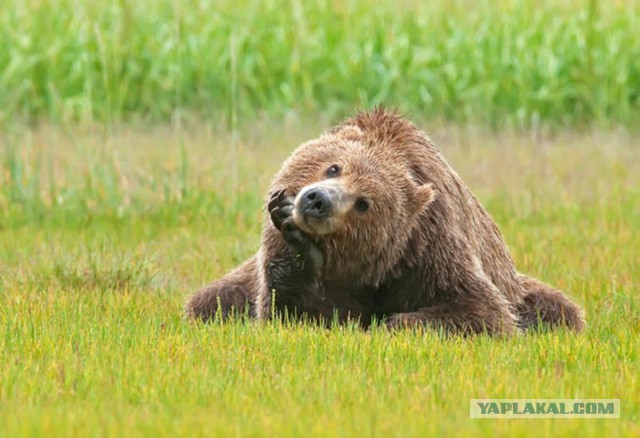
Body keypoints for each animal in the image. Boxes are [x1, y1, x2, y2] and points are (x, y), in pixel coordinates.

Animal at [185, 109, 584, 336]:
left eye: (364, 203)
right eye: (334, 167)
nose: (317, 200)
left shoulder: (428, 248)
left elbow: (483, 310)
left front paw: (392, 322)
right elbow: (286, 311)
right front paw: (298, 248)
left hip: (521, 289)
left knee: (560, 310)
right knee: (209, 300)